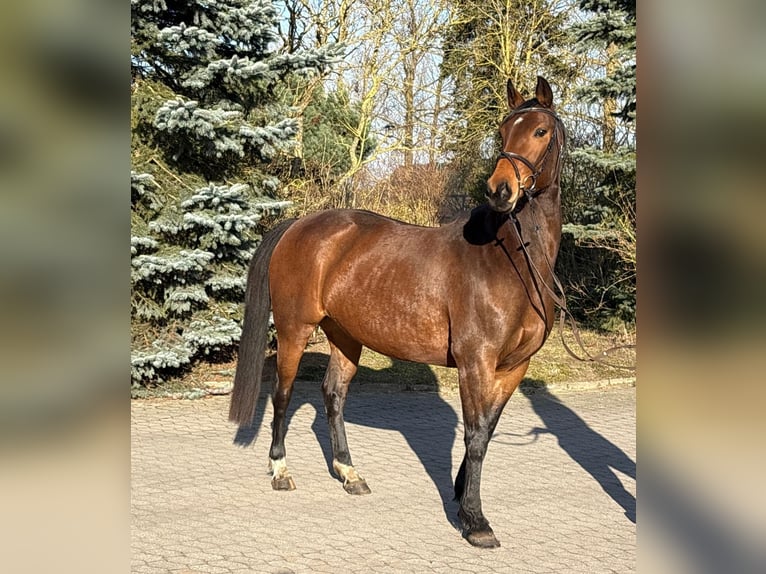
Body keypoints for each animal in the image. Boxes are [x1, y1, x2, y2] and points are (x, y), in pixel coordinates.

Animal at [229, 76, 566, 548]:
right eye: (502, 132)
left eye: (540, 131)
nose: (500, 190)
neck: (511, 259)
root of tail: (299, 224)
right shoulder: (476, 363)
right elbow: (475, 435)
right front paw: (475, 521)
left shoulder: (513, 367)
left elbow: (485, 432)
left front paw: (462, 496)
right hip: (296, 328)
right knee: (282, 394)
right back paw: (280, 469)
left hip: (345, 336)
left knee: (333, 395)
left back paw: (349, 473)